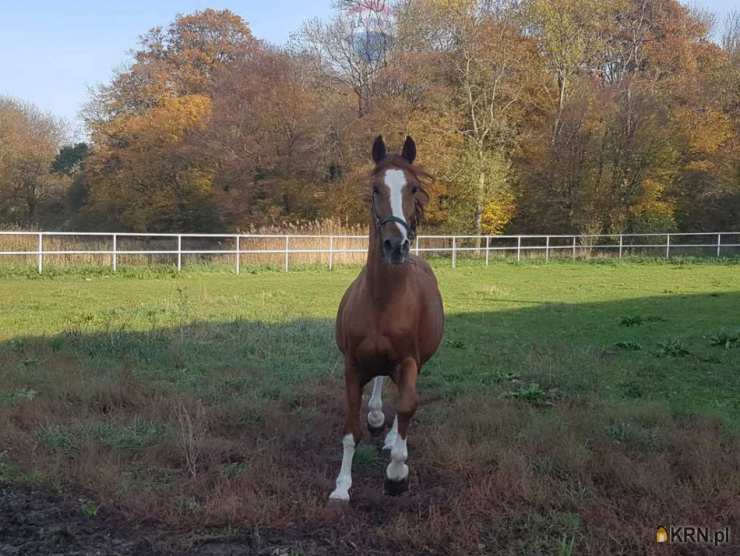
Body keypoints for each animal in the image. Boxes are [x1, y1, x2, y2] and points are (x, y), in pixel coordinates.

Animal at [330, 137, 446, 502]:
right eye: (375, 189)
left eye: (413, 188)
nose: (396, 245)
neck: (382, 301)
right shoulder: (352, 366)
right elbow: (351, 430)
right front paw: (341, 486)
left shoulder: (409, 360)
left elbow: (408, 404)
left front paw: (397, 473)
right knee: (382, 383)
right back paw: (377, 414)